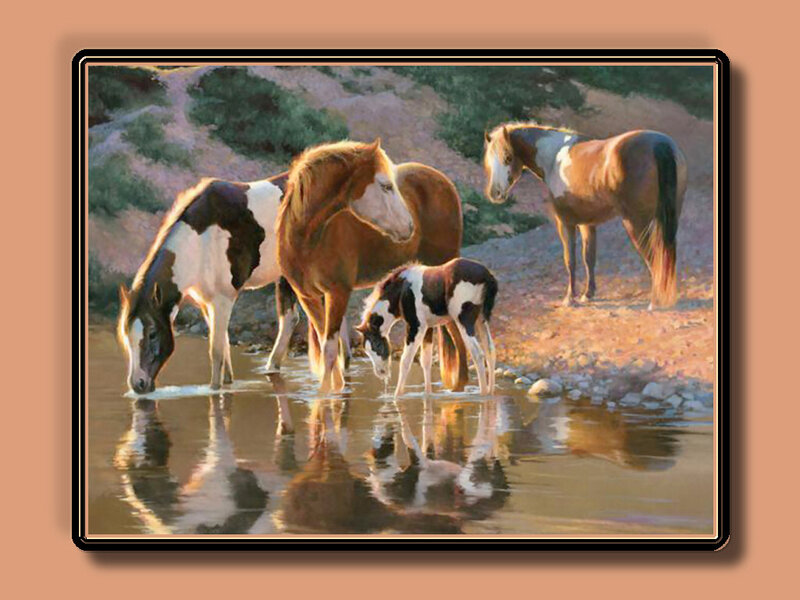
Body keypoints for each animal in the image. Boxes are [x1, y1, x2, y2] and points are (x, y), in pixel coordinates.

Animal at [117, 172, 313, 394]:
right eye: (126, 334)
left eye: (152, 334)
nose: (138, 384)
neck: (200, 241)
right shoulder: (207, 302)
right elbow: (224, 344)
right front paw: (227, 382)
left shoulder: (222, 299)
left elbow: (216, 350)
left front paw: (214, 389)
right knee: (291, 319)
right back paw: (272, 367)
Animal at [276, 139, 468, 393]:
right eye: (386, 186)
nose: (410, 227)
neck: (307, 239)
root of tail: (445, 183)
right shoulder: (308, 297)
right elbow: (326, 342)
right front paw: (335, 389)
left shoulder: (337, 293)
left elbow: (330, 349)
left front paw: (326, 394)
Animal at [357, 258, 498, 397]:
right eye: (367, 350)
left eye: (377, 344)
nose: (381, 372)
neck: (402, 290)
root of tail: (488, 276)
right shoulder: (427, 328)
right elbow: (425, 360)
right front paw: (427, 395)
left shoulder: (415, 327)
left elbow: (405, 360)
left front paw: (397, 396)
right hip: (481, 320)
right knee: (490, 350)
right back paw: (490, 392)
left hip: (464, 321)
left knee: (477, 353)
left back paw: (483, 394)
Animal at [483, 122, 688, 309]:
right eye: (489, 161)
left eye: (508, 157)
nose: (495, 194)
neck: (555, 159)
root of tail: (659, 144)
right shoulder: (587, 223)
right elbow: (588, 258)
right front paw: (588, 294)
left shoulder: (565, 223)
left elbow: (570, 260)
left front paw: (569, 299)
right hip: (668, 219)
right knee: (667, 255)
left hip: (636, 223)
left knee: (653, 258)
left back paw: (656, 301)